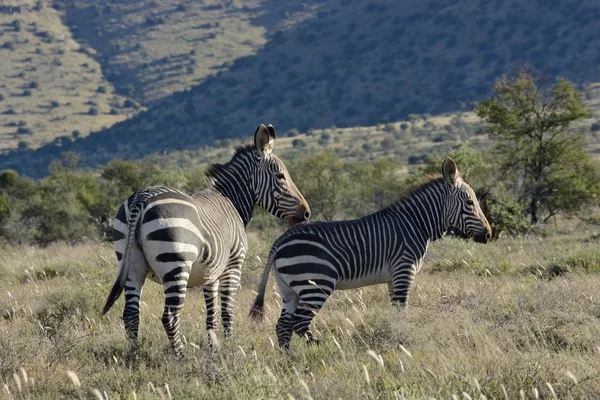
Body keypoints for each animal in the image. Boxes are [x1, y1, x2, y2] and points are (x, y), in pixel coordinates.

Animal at [102, 123, 310, 354]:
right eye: (281, 176)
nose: (307, 213)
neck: (231, 201)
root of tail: (141, 198)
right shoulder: (233, 266)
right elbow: (227, 311)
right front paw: (230, 346)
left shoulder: (210, 273)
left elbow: (212, 317)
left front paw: (213, 347)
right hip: (176, 264)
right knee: (169, 316)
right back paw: (180, 355)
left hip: (131, 265)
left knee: (131, 314)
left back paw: (135, 353)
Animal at [251, 157, 490, 350]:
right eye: (470, 202)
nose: (488, 235)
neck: (415, 225)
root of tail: (281, 240)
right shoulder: (404, 271)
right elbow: (401, 312)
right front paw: (401, 343)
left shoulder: (394, 278)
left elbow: (395, 312)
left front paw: (396, 339)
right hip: (315, 284)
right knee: (299, 324)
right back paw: (327, 348)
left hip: (289, 289)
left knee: (283, 326)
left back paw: (288, 361)